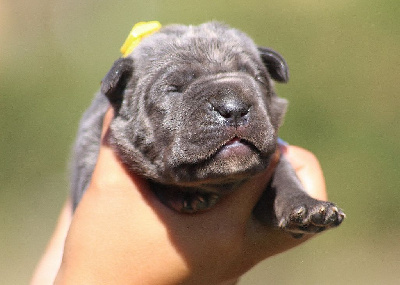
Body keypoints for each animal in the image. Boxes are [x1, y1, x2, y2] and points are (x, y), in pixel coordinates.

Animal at [71, 21, 344, 235]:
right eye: (174, 88)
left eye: (256, 79)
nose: (233, 108)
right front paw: (188, 195)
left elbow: (284, 175)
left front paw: (307, 207)